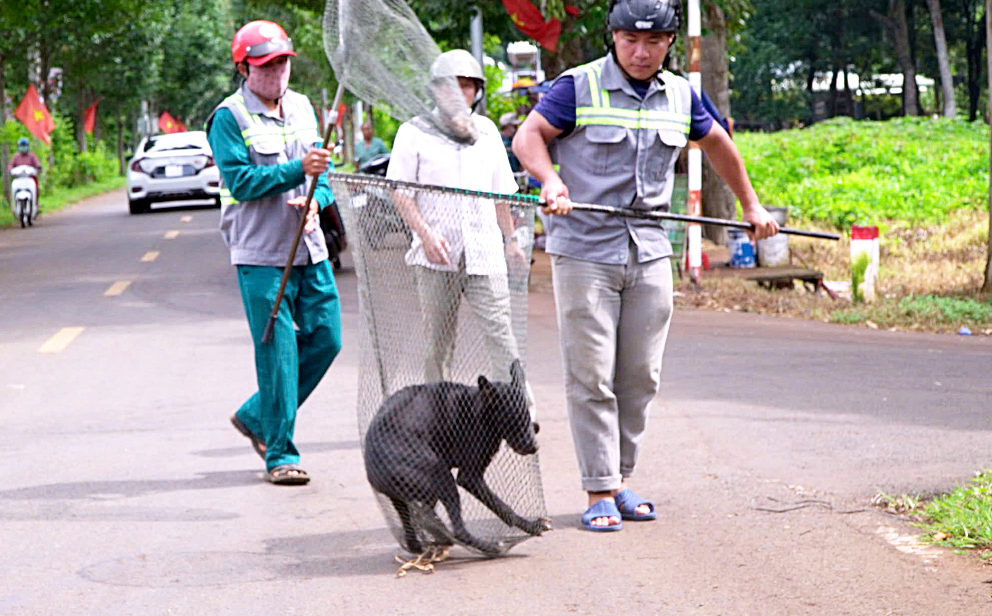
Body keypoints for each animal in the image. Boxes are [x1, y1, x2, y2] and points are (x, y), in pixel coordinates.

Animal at [364, 358, 552, 556]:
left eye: (527, 416)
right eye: (512, 419)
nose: (534, 447)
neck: (478, 406)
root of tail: (375, 470)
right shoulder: (470, 477)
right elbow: (502, 507)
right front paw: (530, 526)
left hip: (408, 496)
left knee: (418, 523)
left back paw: (429, 540)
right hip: (441, 476)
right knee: (457, 530)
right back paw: (488, 547)